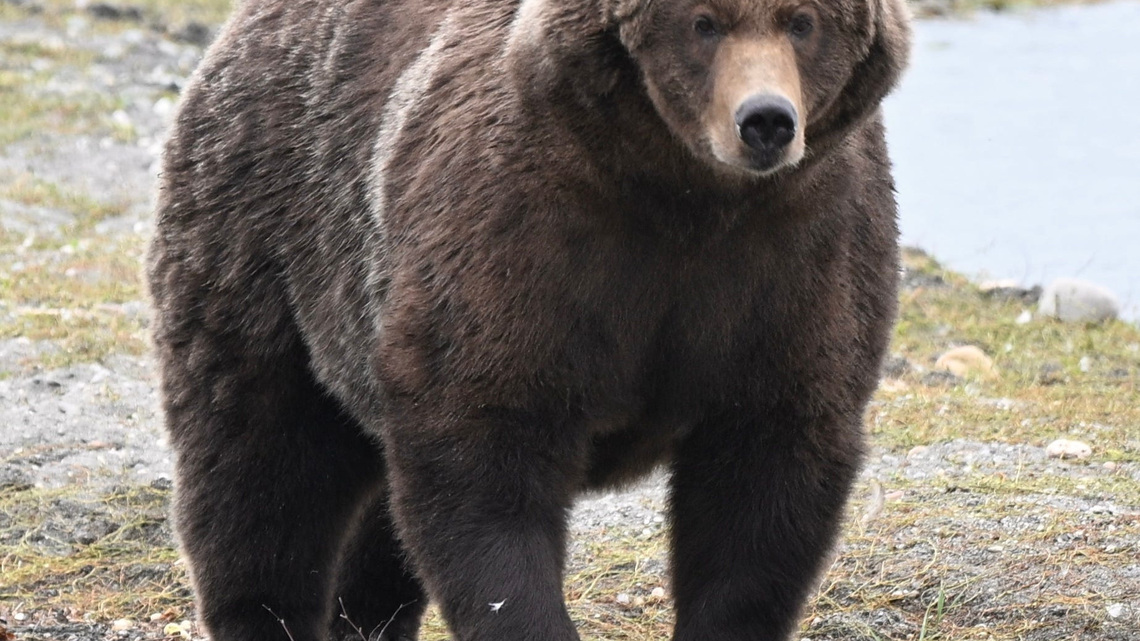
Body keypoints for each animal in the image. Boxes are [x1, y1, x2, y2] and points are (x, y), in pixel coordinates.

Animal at [146, 0, 911, 639]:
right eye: (704, 22)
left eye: (803, 22)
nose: (766, 120)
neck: (686, 197)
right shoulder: (523, 237)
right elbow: (485, 456)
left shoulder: (795, 260)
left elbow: (765, 481)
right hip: (272, 241)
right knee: (260, 462)